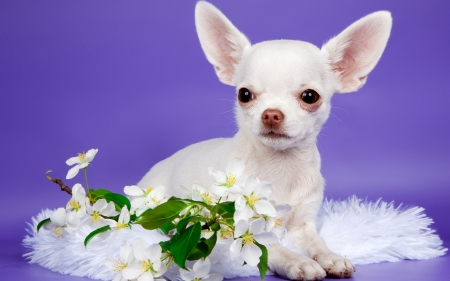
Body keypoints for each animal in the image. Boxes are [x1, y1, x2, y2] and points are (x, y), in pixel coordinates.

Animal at [139, 1, 392, 278]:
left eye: (310, 96)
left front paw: (331, 256)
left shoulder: (303, 226)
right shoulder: (238, 228)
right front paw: (298, 261)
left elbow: (318, 243)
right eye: (244, 94)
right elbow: (272, 249)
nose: (271, 113)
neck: (280, 167)